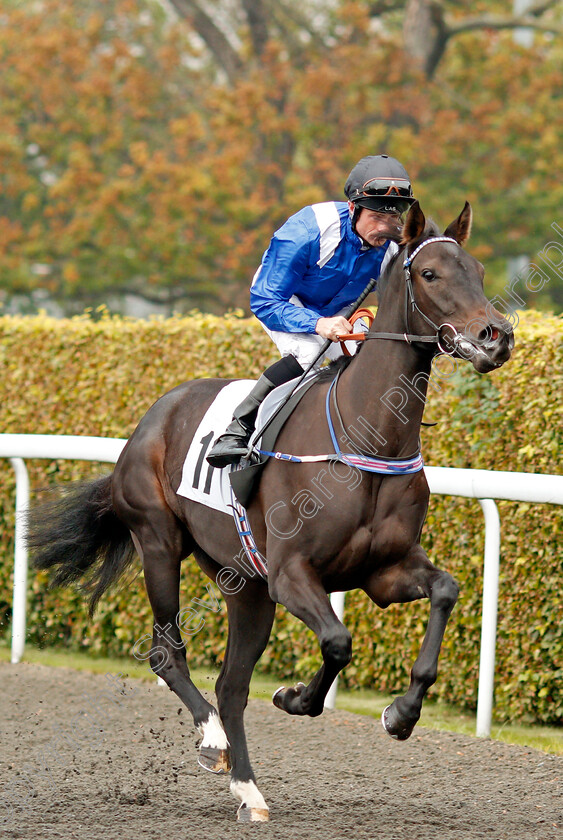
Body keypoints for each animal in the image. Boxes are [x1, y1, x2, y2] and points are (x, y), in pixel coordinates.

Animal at [29, 202, 516, 820]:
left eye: (477, 268)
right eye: (429, 274)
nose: (495, 337)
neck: (366, 437)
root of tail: (149, 419)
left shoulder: (383, 572)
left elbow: (445, 593)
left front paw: (400, 715)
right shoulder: (291, 574)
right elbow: (337, 641)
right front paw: (294, 697)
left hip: (246, 586)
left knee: (231, 686)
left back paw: (248, 790)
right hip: (160, 544)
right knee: (167, 654)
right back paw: (213, 743)